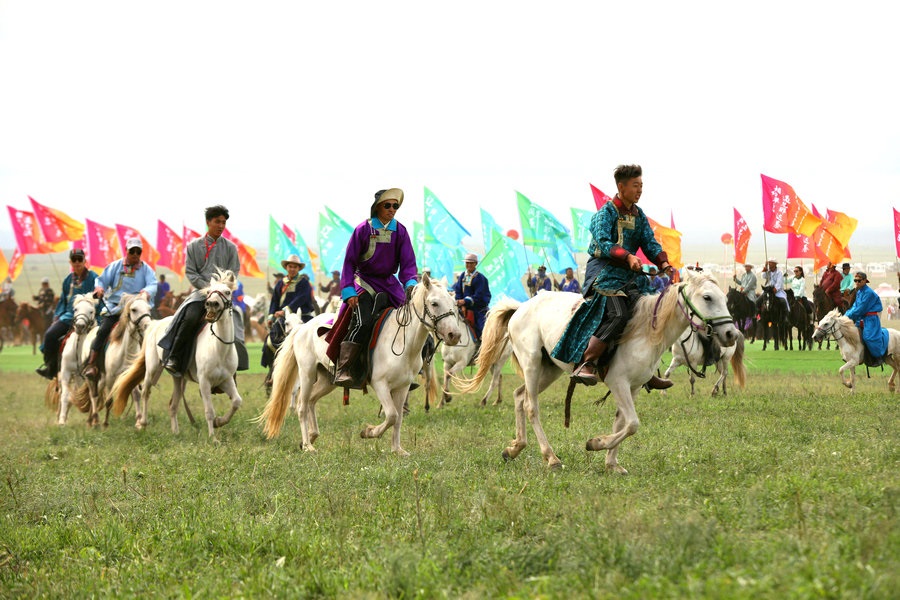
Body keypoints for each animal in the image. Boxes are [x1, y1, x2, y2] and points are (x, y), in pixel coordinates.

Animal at [56, 295, 99, 425]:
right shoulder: (66, 372)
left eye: (91, 311)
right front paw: (61, 421)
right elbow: (65, 396)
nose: (80, 326)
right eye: (75, 309)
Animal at [111, 269, 244, 437]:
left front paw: (219, 422)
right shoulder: (204, 382)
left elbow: (237, 401)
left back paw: (175, 432)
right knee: (145, 392)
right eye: (208, 292)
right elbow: (209, 411)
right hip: (152, 369)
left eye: (227, 292)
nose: (212, 304)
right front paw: (213, 437)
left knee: (173, 404)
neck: (218, 347)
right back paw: (142, 423)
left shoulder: (226, 380)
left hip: (179, 379)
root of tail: (154, 324)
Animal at [259, 273, 462, 455]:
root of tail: (302, 327)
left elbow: (398, 419)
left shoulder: (402, 387)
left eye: (454, 304)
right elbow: (391, 415)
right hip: (307, 373)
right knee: (302, 405)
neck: (402, 342)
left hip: (327, 379)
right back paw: (308, 445)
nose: (454, 335)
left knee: (312, 400)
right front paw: (369, 432)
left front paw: (397, 449)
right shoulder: (380, 384)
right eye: (434, 303)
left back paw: (311, 435)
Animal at [455, 269, 740, 474]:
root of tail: (520, 308)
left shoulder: (633, 387)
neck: (647, 330)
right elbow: (633, 423)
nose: (731, 334)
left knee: (518, 396)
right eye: (707, 297)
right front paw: (596, 444)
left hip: (549, 370)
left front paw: (611, 463)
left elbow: (622, 421)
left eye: (724, 298)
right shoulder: (618, 382)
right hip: (532, 363)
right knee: (530, 406)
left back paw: (515, 448)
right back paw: (551, 457)